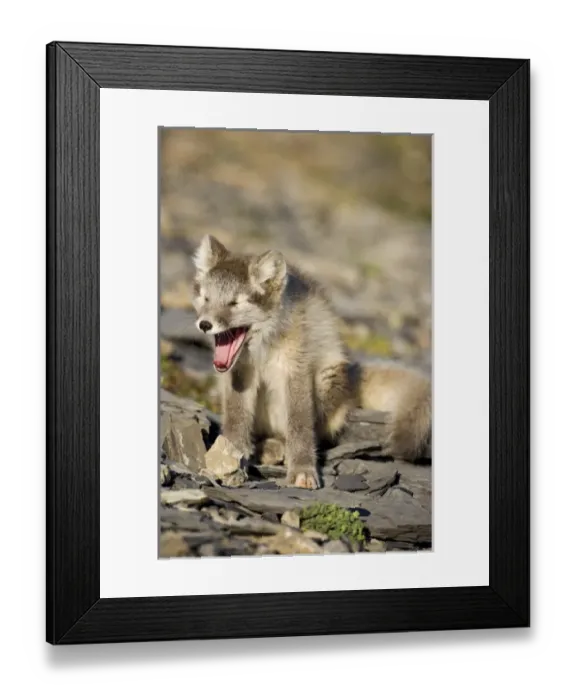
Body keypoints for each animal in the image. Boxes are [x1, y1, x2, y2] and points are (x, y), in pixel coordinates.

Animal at [191, 234, 431, 490]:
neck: (265, 348)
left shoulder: (296, 369)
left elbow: (300, 424)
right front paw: (230, 456)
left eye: (235, 303)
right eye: (205, 298)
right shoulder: (240, 373)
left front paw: (302, 470)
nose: (204, 324)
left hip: (326, 381)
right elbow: (237, 418)